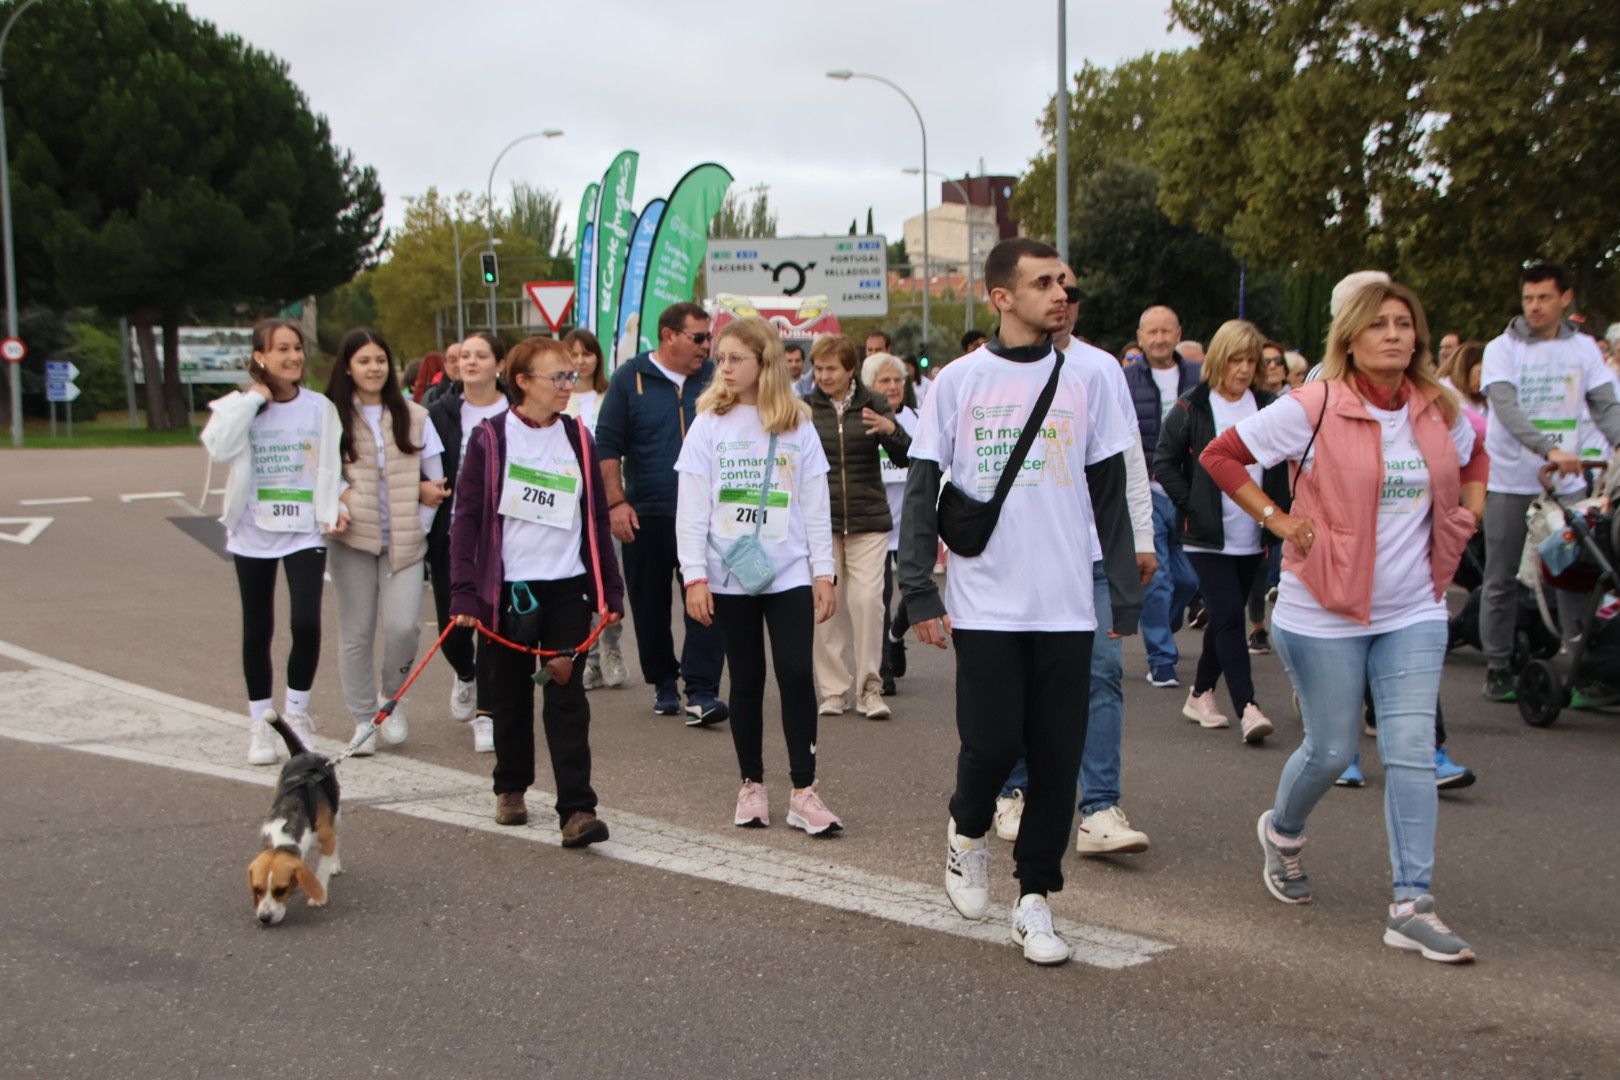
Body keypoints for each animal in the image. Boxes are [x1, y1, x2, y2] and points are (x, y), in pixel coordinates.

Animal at [246, 712, 341, 926]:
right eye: (258, 889)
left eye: (280, 890)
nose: (264, 918)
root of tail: (303, 753)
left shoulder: (326, 837)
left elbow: (322, 868)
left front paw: (319, 896)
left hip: (336, 816)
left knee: (336, 840)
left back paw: (335, 863)